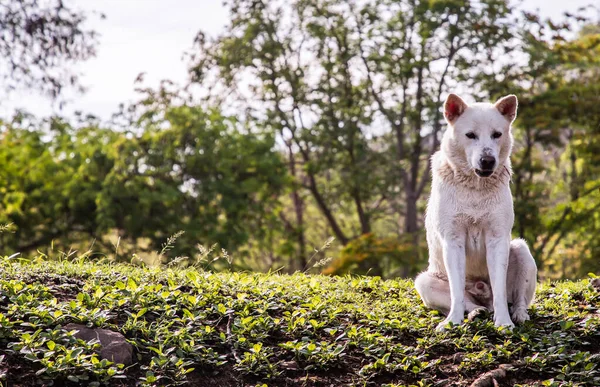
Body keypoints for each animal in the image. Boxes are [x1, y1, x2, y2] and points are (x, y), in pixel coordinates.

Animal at [414, 93, 536, 330]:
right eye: (470, 135)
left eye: (497, 134)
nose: (487, 161)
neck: (475, 189)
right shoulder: (453, 240)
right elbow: (456, 292)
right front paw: (452, 321)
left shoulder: (497, 238)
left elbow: (500, 291)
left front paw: (504, 323)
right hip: (424, 281)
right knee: (467, 301)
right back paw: (475, 312)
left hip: (521, 250)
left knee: (518, 299)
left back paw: (518, 314)